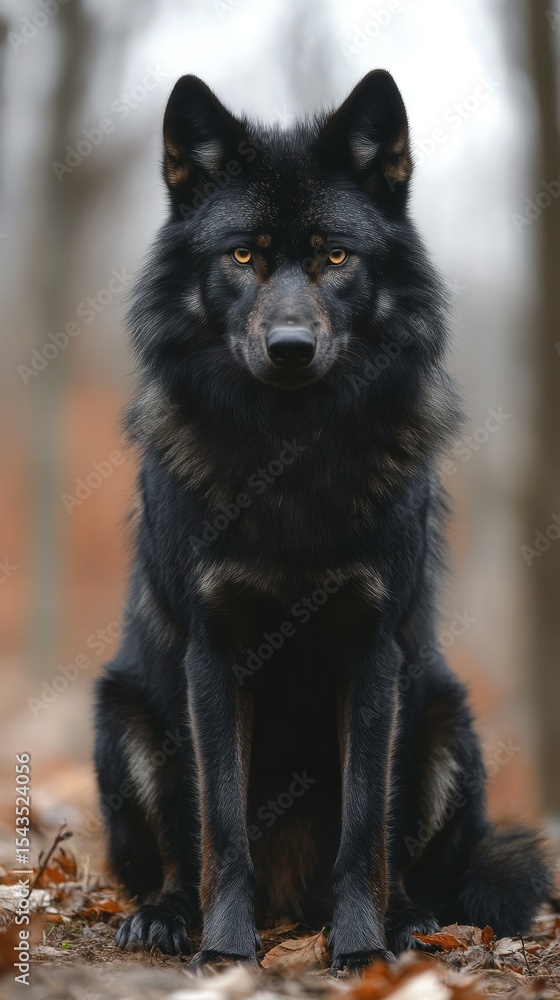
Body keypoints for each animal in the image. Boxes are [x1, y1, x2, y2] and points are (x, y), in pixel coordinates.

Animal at [94, 71, 551, 972]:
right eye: (243, 256)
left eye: (334, 257)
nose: (291, 348)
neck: (291, 458)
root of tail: (290, 903)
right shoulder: (215, 654)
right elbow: (221, 824)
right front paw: (226, 952)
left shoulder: (371, 653)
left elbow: (364, 828)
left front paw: (362, 949)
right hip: (124, 719)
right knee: (174, 856)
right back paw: (165, 918)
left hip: (444, 723)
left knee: (410, 863)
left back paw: (410, 924)